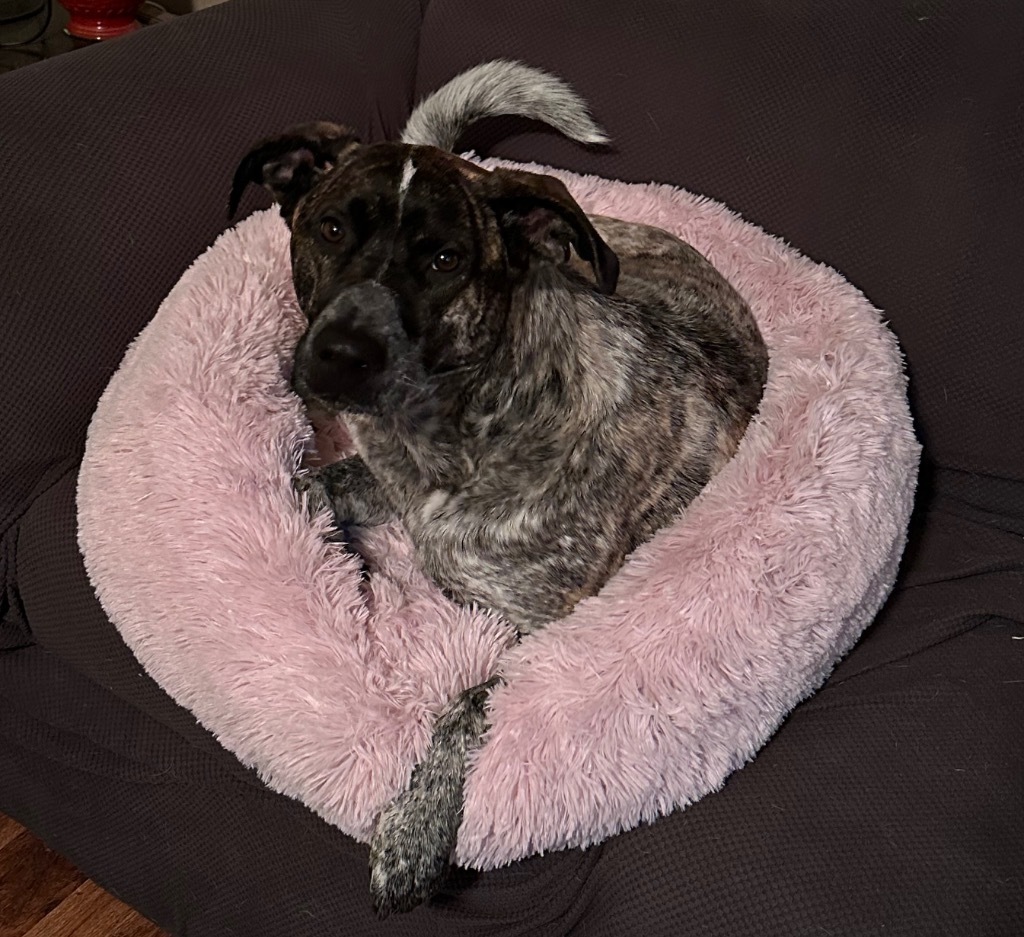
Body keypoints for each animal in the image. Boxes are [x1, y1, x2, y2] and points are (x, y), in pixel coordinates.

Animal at [228, 58, 765, 917]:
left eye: (445, 260)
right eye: (331, 228)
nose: (342, 353)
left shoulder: (539, 632)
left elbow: (464, 705)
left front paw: (410, 836)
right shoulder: (379, 482)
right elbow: (313, 487)